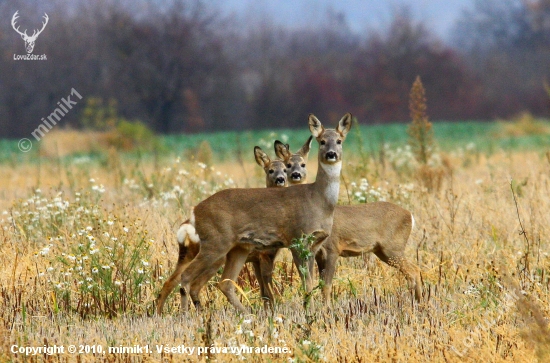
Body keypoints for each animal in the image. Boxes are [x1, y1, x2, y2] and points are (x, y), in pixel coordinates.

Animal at [156, 113, 354, 312]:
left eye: (339, 141)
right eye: (322, 141)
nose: (331, 154)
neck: (319, 201)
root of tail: (195, 212)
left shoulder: (314, 244)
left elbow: (312, 282)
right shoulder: (296, 239)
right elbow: (305, 282)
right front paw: (309, 311)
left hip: (237, 248)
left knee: (222, 283)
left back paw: (244, 314)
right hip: (216, 243)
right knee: (187, 277)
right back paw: (185, 314)